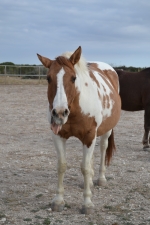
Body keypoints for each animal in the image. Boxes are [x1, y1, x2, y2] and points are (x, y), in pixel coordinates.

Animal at [37, 46, 121, 214]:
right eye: (48, 78)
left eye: (73, 78)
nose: (59, 113)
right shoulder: (58, 136)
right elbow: (62, 166)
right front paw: (58, 201)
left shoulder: (89, 137)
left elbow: (85, 168)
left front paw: (87, 203)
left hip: (106, 131)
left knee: (103, 148)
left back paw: (101, 179)